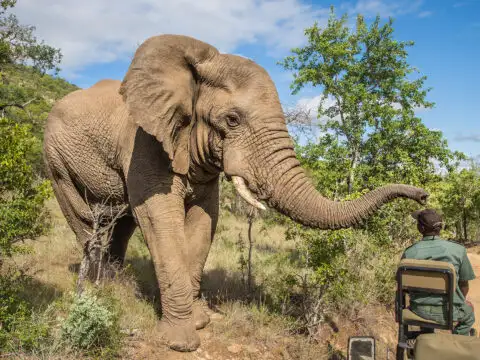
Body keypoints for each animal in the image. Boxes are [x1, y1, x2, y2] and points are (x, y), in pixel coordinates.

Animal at [43, 34, 430, 352]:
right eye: (232, 120)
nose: (423, 196)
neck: (196, 65)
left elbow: (204, 220)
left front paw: (200, 320)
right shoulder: (142, 142)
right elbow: (159, 218)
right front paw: (182, 341)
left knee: (120, 224)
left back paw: (116, 284)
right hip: (56, 161)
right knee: (86, 220)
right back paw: (99, 289)